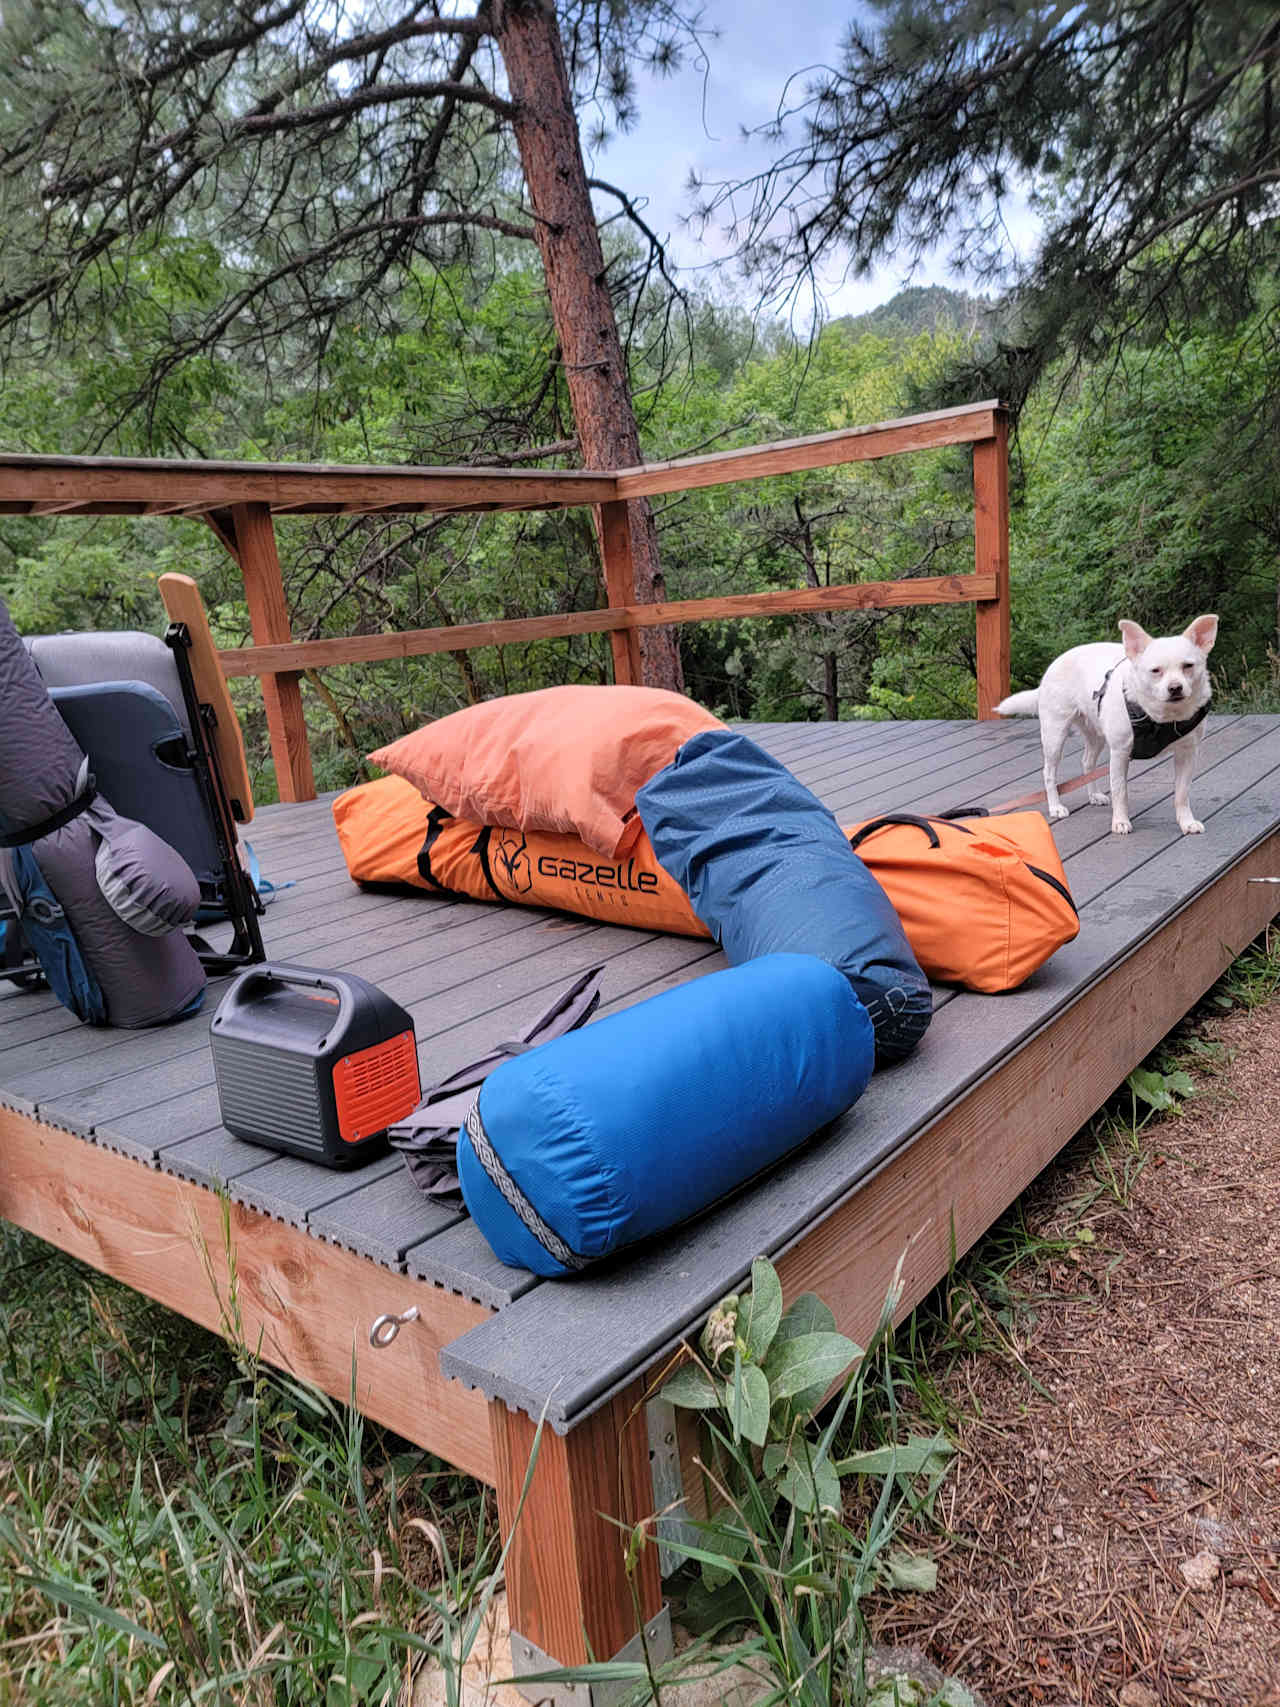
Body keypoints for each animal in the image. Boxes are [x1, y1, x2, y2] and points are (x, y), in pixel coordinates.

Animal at [989, 617, 1221, 836]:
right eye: (1155, 671)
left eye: (1188, 666)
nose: (1175, 688)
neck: (1162, 718)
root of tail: (1052, 666)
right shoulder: (1120, 753)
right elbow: (1120, 790)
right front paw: (1120, 822)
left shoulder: (1187, 753)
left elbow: (1181, 793)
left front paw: (1186, 822)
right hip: (1055, 736)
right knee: (1049, 772)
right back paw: (1055, 806)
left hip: (1096, 736)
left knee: (1087, 763)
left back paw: (1093, 795)